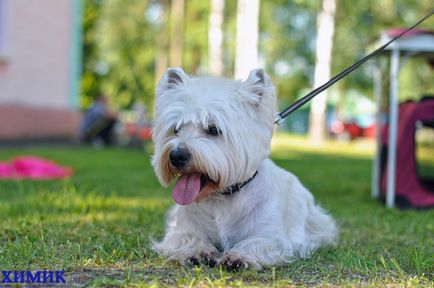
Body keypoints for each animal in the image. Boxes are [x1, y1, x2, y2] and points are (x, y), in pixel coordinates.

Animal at [151, 67, 338, 270]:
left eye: (214, 129)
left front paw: (238, 257)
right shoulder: (183, 229)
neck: (222, 197)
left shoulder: (271, 237)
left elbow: (256, 243)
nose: (176, 155)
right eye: (176, 128)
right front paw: (197, 252)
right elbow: (187, 238)